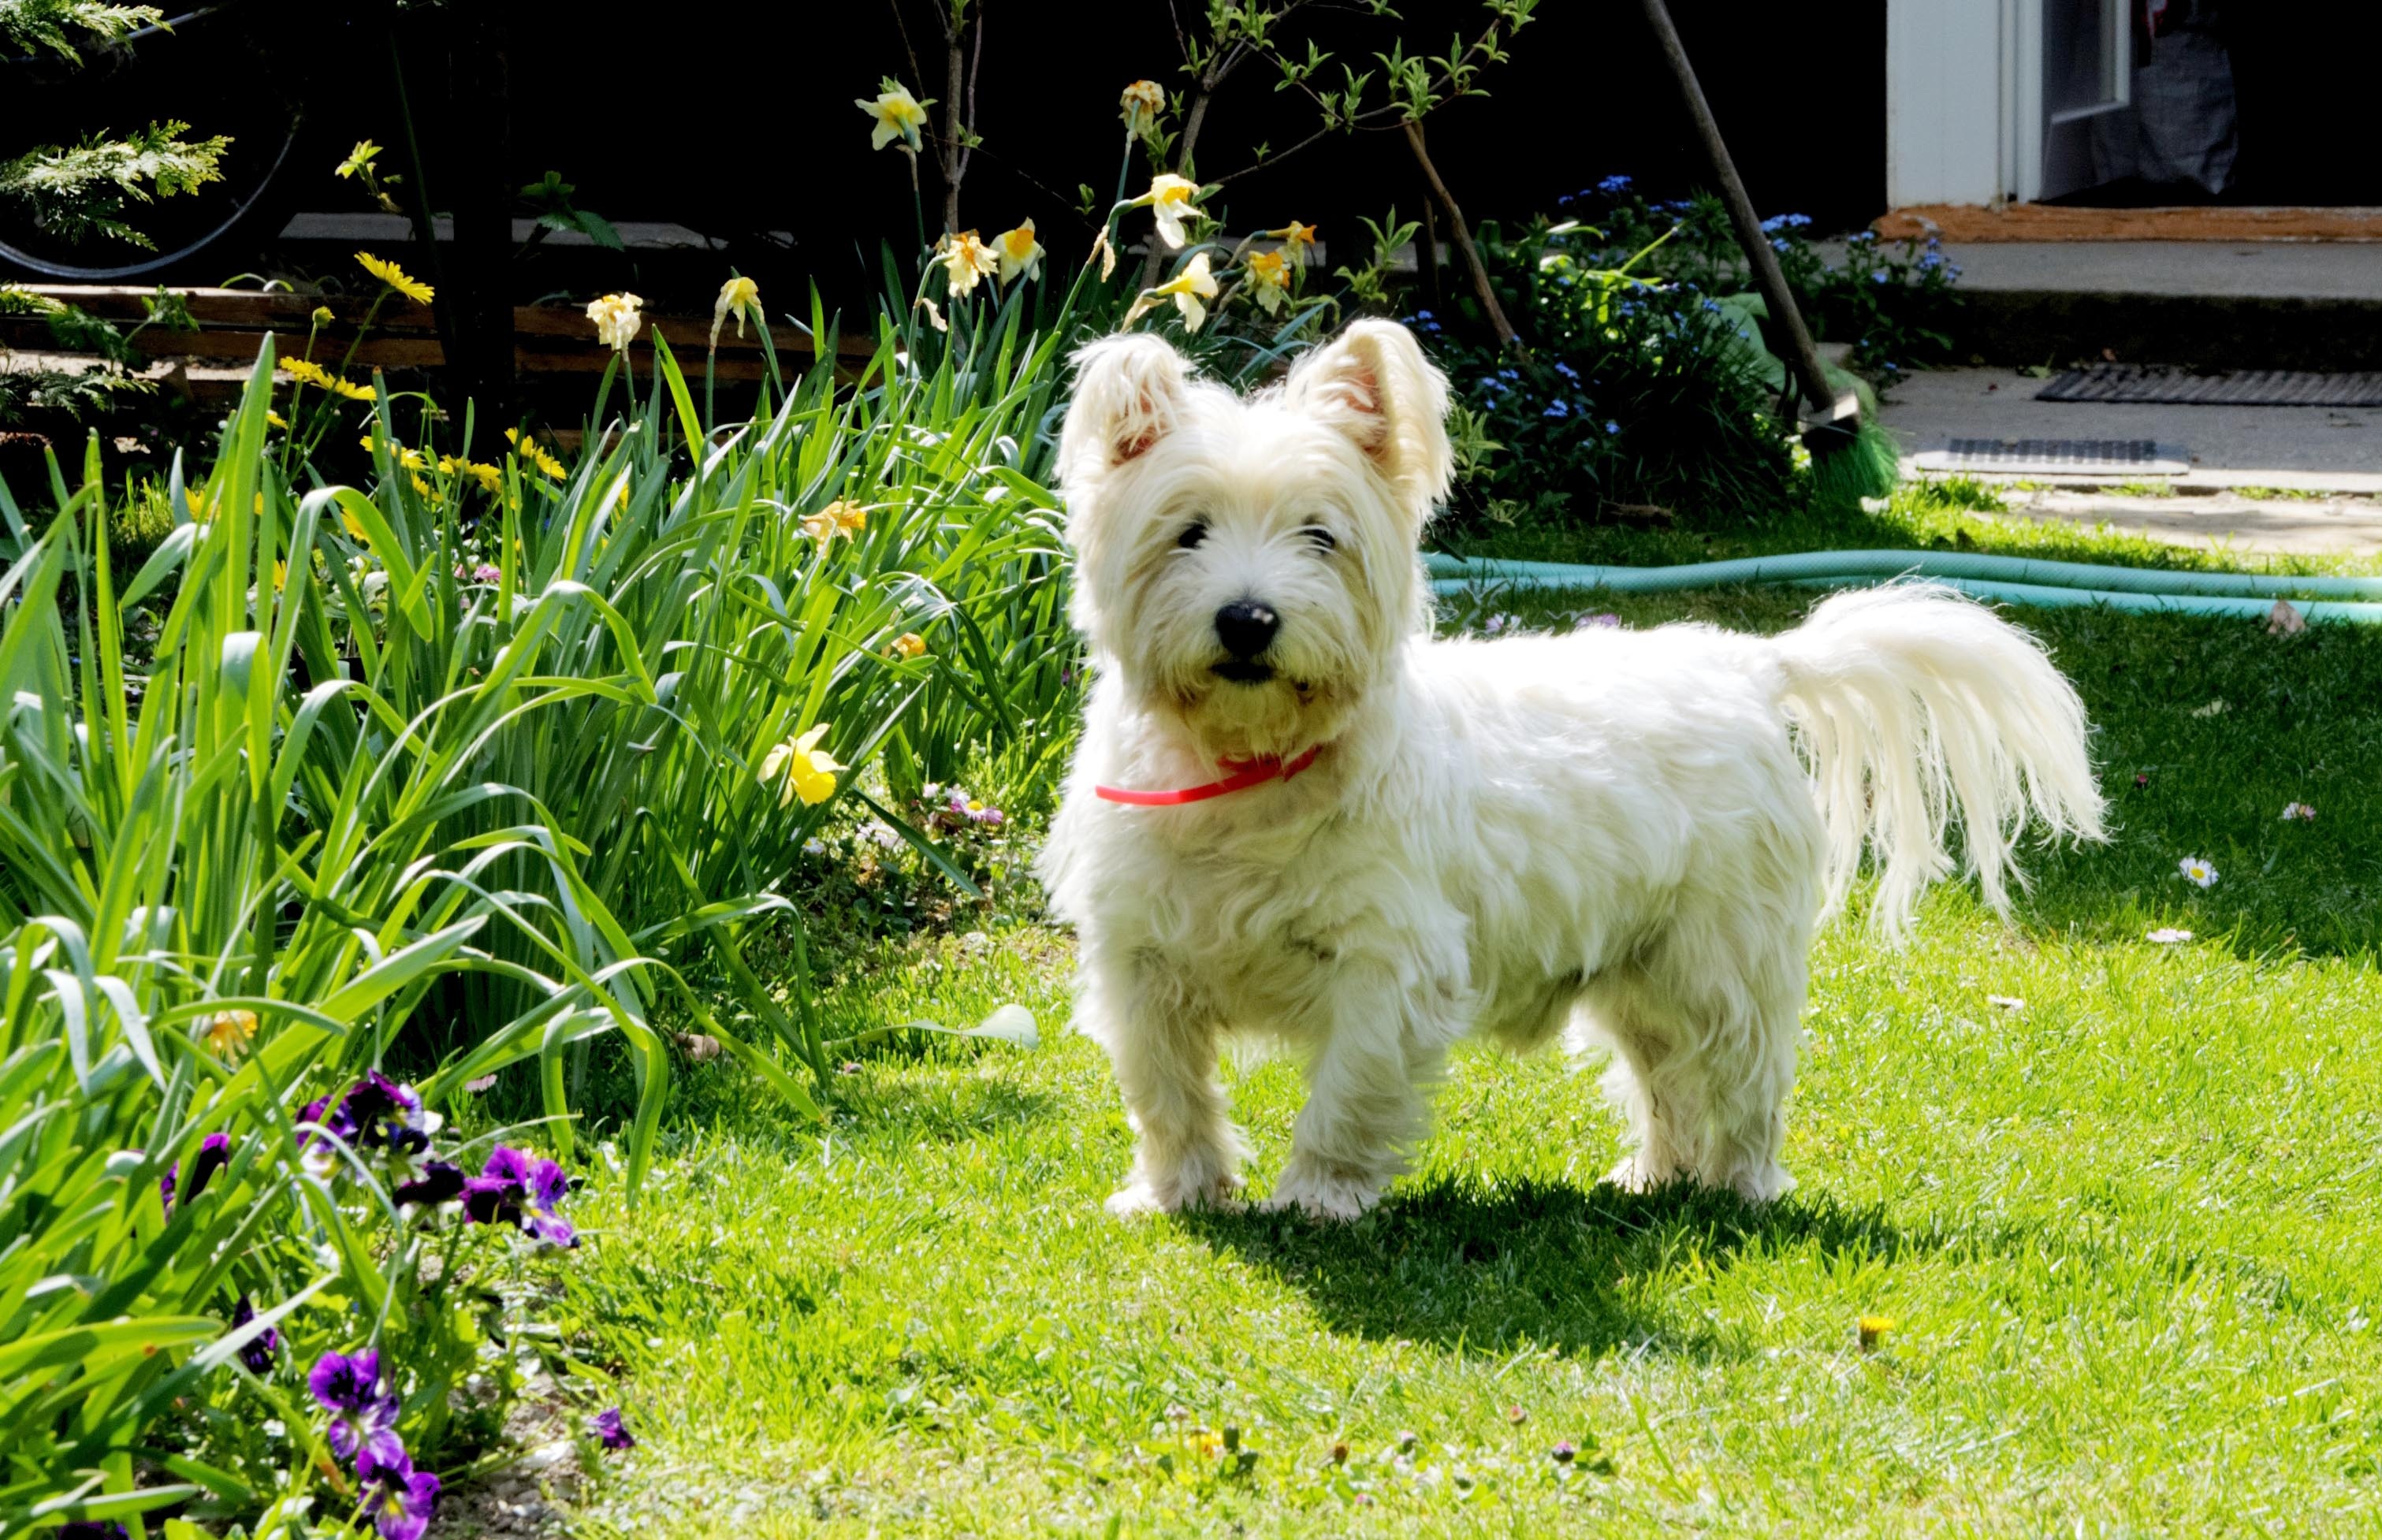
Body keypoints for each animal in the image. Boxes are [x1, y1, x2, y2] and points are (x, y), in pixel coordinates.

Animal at [1043, 318, 2105, 1218]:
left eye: (1321, 535)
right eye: (1187, 531)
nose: (1248, 619)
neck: (1250, 771)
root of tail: (1752, 664)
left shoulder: (1387, 966)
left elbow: (1346, 1091)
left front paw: (1318, 1198)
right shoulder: (1140, 962)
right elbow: (1167, 1092)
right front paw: (1177, 1195)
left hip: (1722, 958)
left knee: (1743, 1078)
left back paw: (1738, 1190)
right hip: (1639, 971)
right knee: (1665, 1076)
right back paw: (1653, 1179)